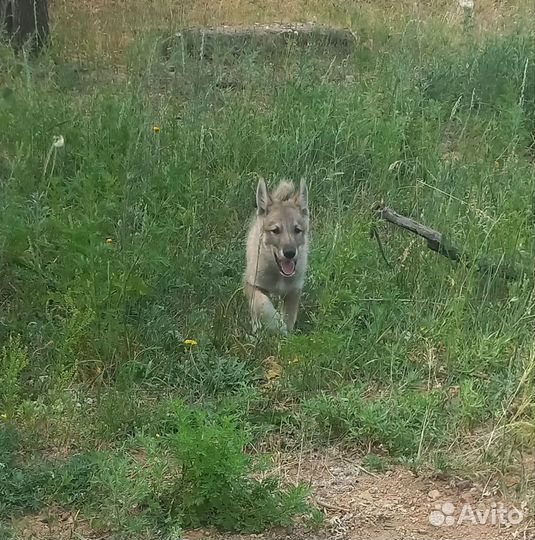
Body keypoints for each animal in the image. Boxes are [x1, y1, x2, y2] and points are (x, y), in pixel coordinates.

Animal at [244, 179, 310, 336]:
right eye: (275, 230)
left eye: (297, 230)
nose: (290, 253)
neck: (278, 275)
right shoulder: (252, 284)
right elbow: (263, 306)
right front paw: (277, 326)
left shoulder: (294, 290)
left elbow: (288, 316)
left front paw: (286, 333)